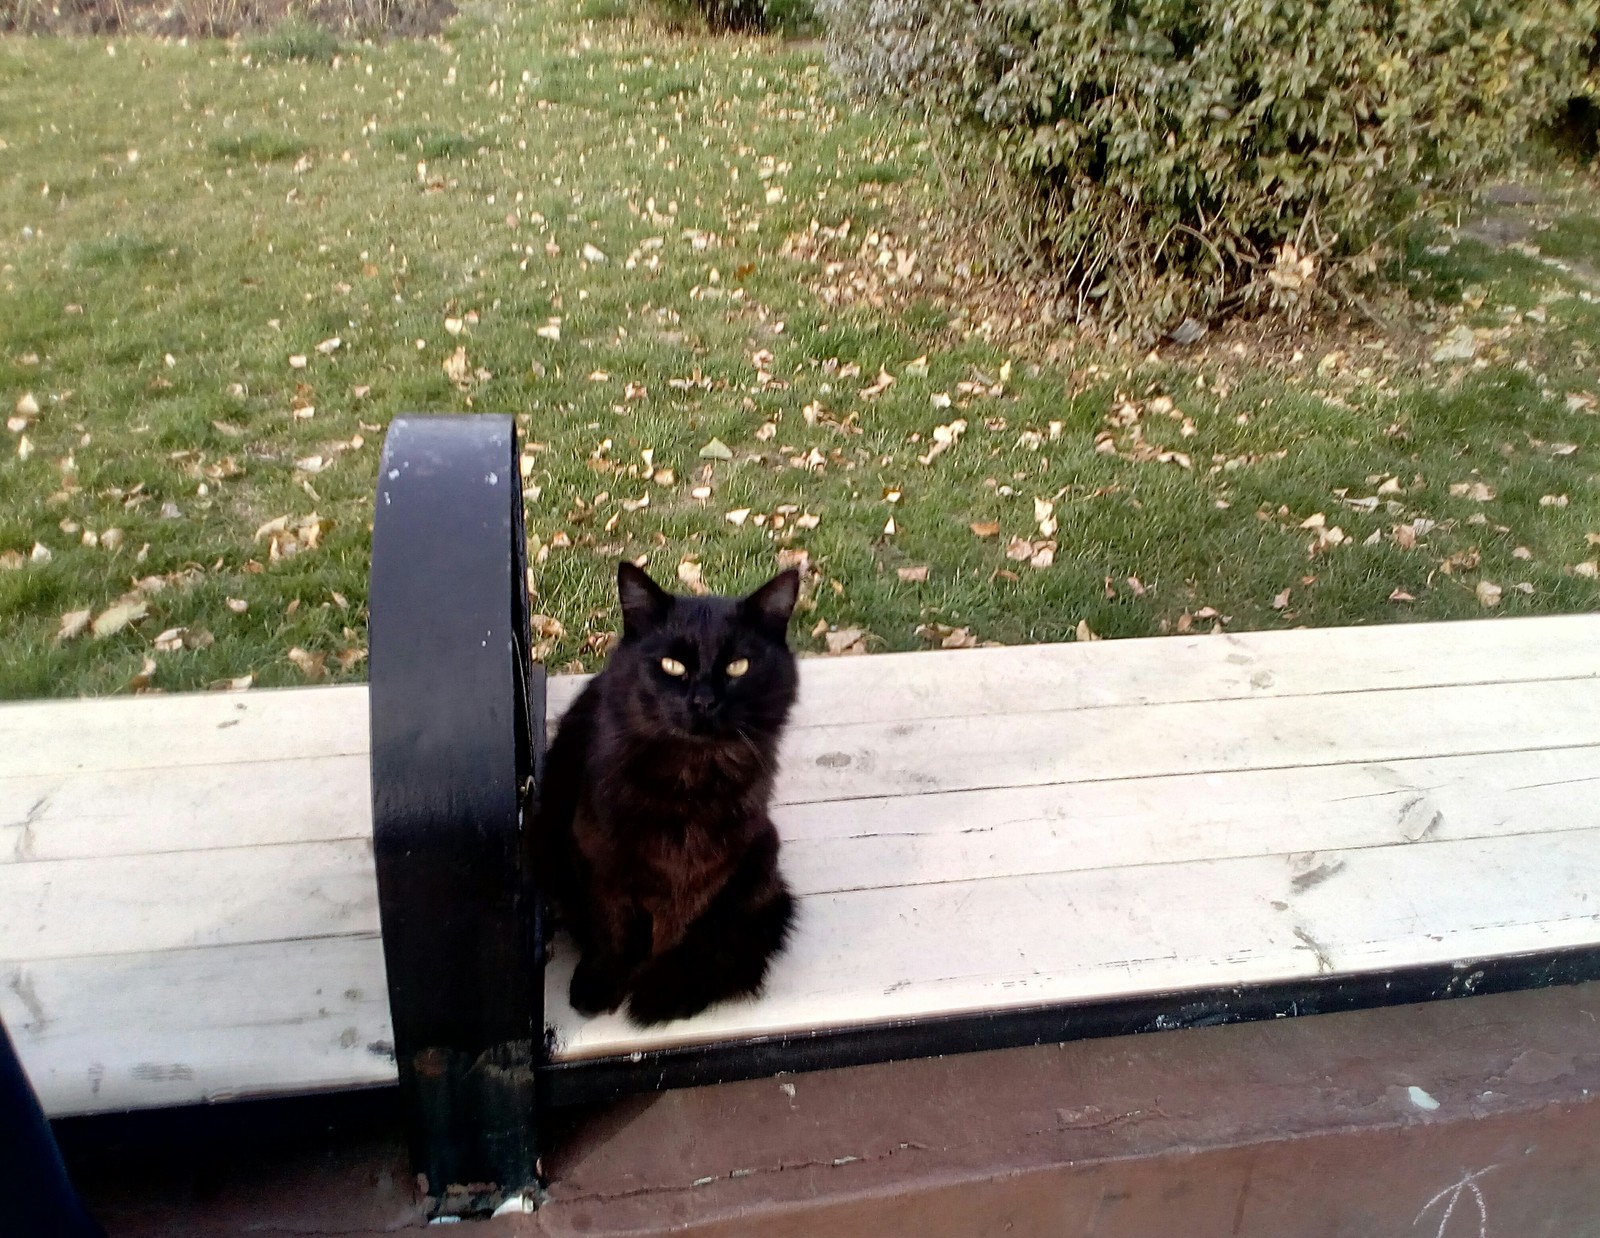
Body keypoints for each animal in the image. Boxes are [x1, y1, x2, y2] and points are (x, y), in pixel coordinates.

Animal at [537, 563, 800, 1030]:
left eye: (738, 667)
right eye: (672, 666)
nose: (704, 701)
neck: (689, 782)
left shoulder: (705, 873)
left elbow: (673, 933)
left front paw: (655, 984)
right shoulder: (599, 859)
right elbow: (613, 930)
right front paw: (602, 986)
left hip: (761, 851)